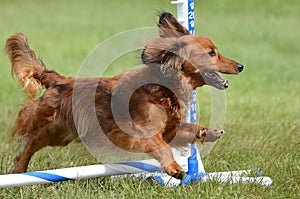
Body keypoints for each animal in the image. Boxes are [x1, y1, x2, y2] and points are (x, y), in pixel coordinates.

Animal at [5, 12, 244, 179]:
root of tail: (59, 80)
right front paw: (174, 168)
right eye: (211, 53)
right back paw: (19, 170)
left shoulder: (170, 130)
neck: (164, 88)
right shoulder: (143, 133)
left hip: (61, 134)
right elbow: (162, 148)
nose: (241, 66)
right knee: (28, 145)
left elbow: (189, 128)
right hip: (50, 129)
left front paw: (208, 132)